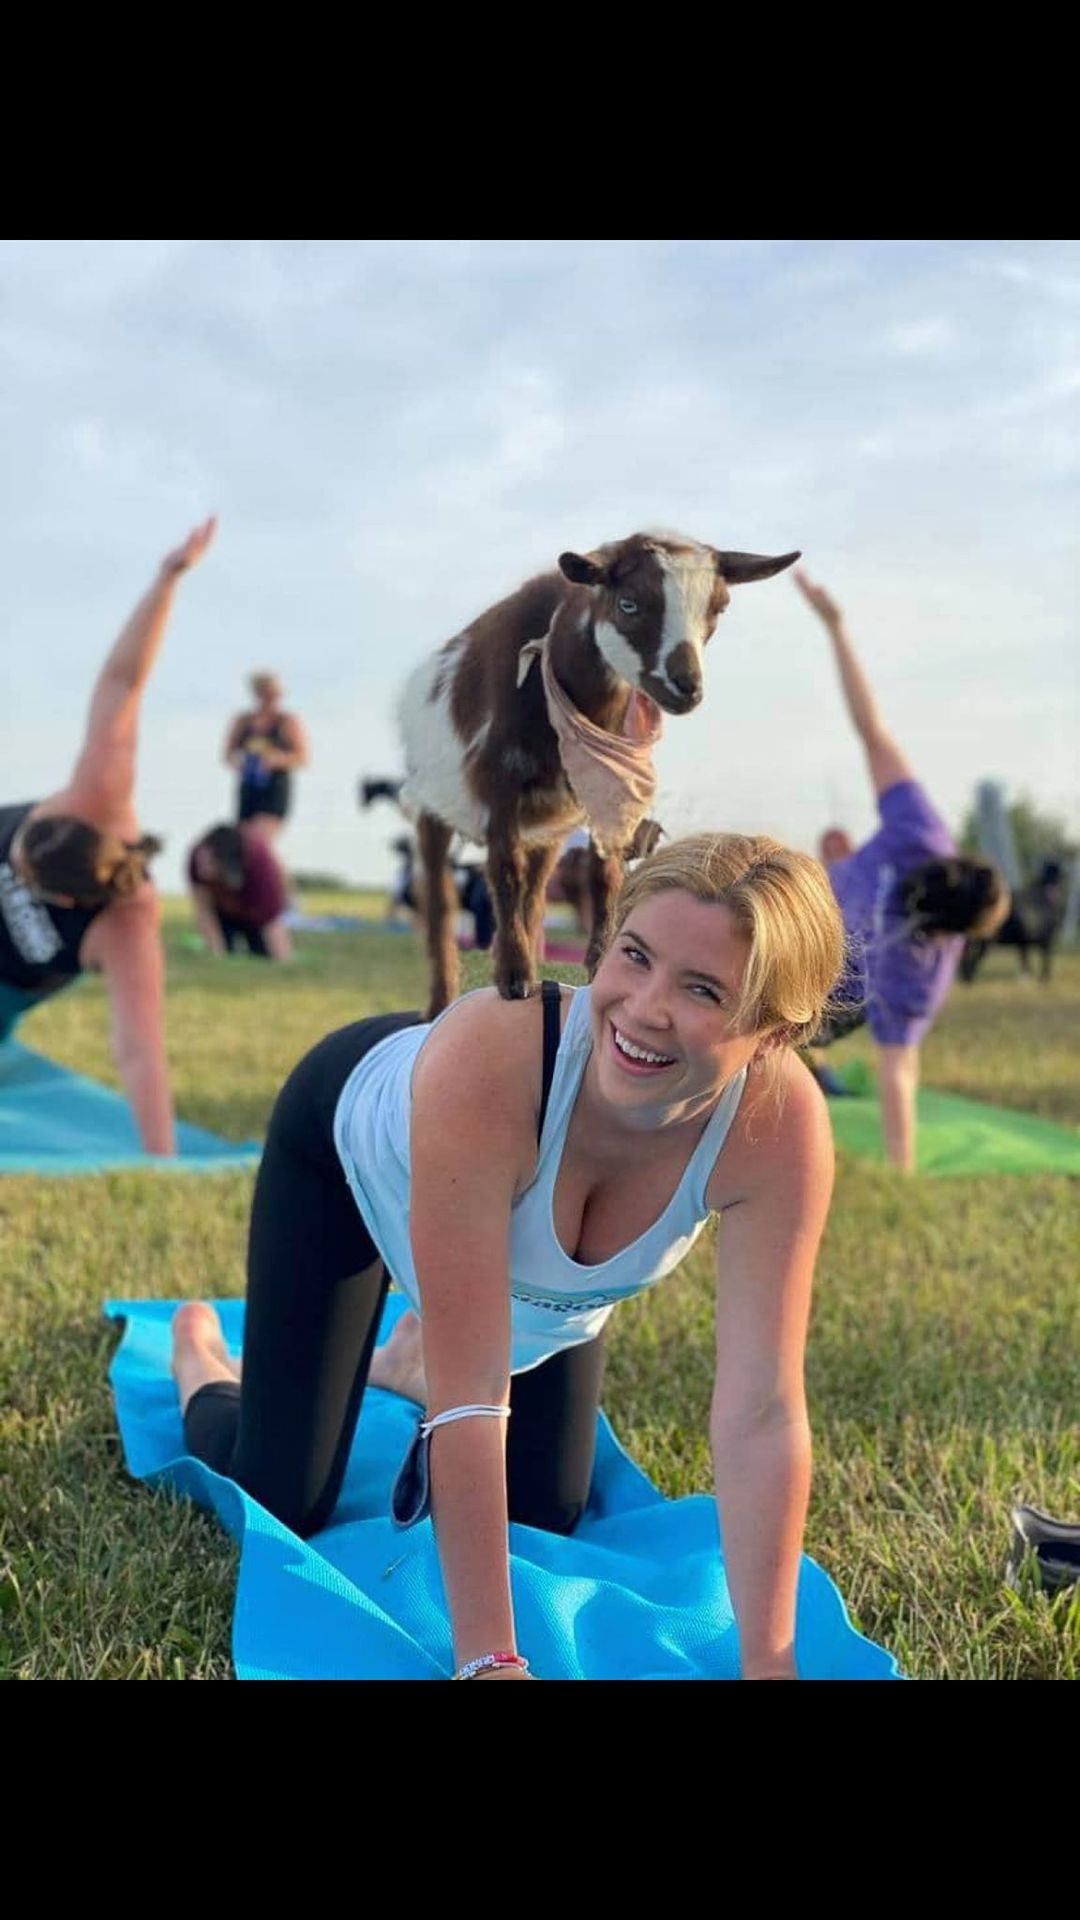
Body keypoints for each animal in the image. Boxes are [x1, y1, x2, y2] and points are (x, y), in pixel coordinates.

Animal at [397, 529, 799, 1021]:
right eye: (629, 603)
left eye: (718, 608)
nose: (686, 687)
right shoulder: (499, 786)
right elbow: (504, 870)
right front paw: (513, 980)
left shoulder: (598, 794)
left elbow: (604, 876)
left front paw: (595, 962)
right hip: (430, 803)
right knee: (441, 898)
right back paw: (441, 1001)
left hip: (547, 825)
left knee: (535, 893)